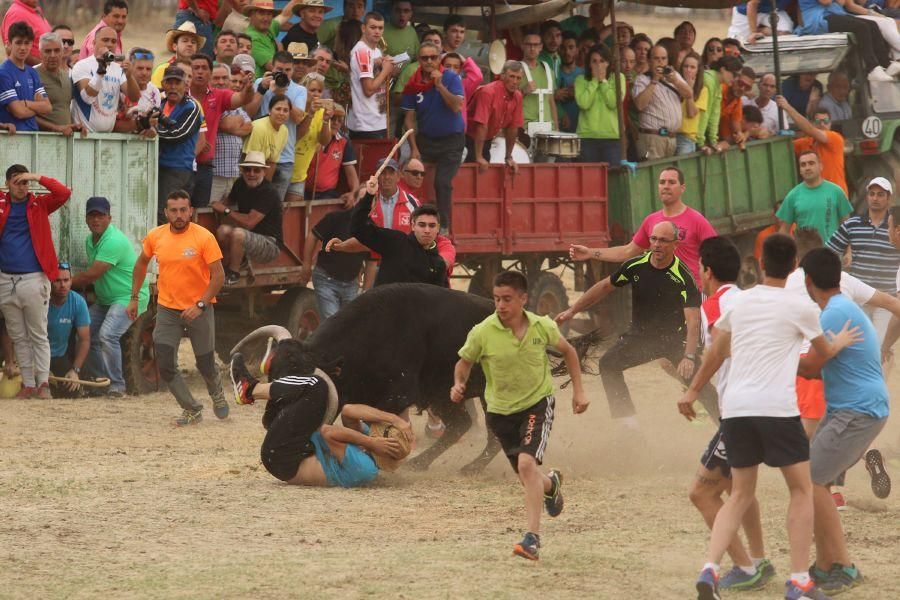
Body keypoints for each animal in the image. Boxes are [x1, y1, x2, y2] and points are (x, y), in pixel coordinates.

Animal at [232, 282, 596, 474]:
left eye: (300, 388)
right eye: (273, 375)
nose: (269, 421)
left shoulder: (399, 394)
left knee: (490, 434)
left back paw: (470, 467)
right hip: (447, 395)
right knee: (463, 426)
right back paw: (425, 462)